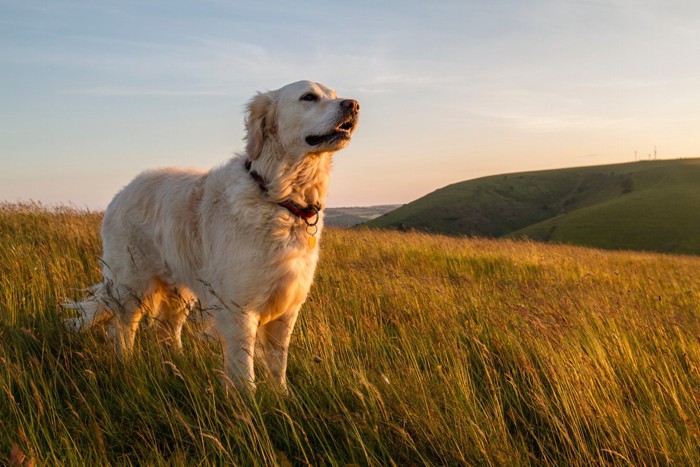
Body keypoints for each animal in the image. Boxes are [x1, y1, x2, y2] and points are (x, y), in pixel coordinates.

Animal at [64, 82, 360, 394]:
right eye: (308, 97)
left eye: (334, 94)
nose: (353, 105)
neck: (278, 197)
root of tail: (122, 192)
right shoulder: (239, 308)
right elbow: (244, 368)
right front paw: (249, 402)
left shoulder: (287, 308)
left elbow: (278, 363)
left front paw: (282, 397)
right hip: (132, 284)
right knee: (123, 328)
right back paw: (127, 365)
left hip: (178, 291)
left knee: (167, 330)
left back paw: (177, 365)